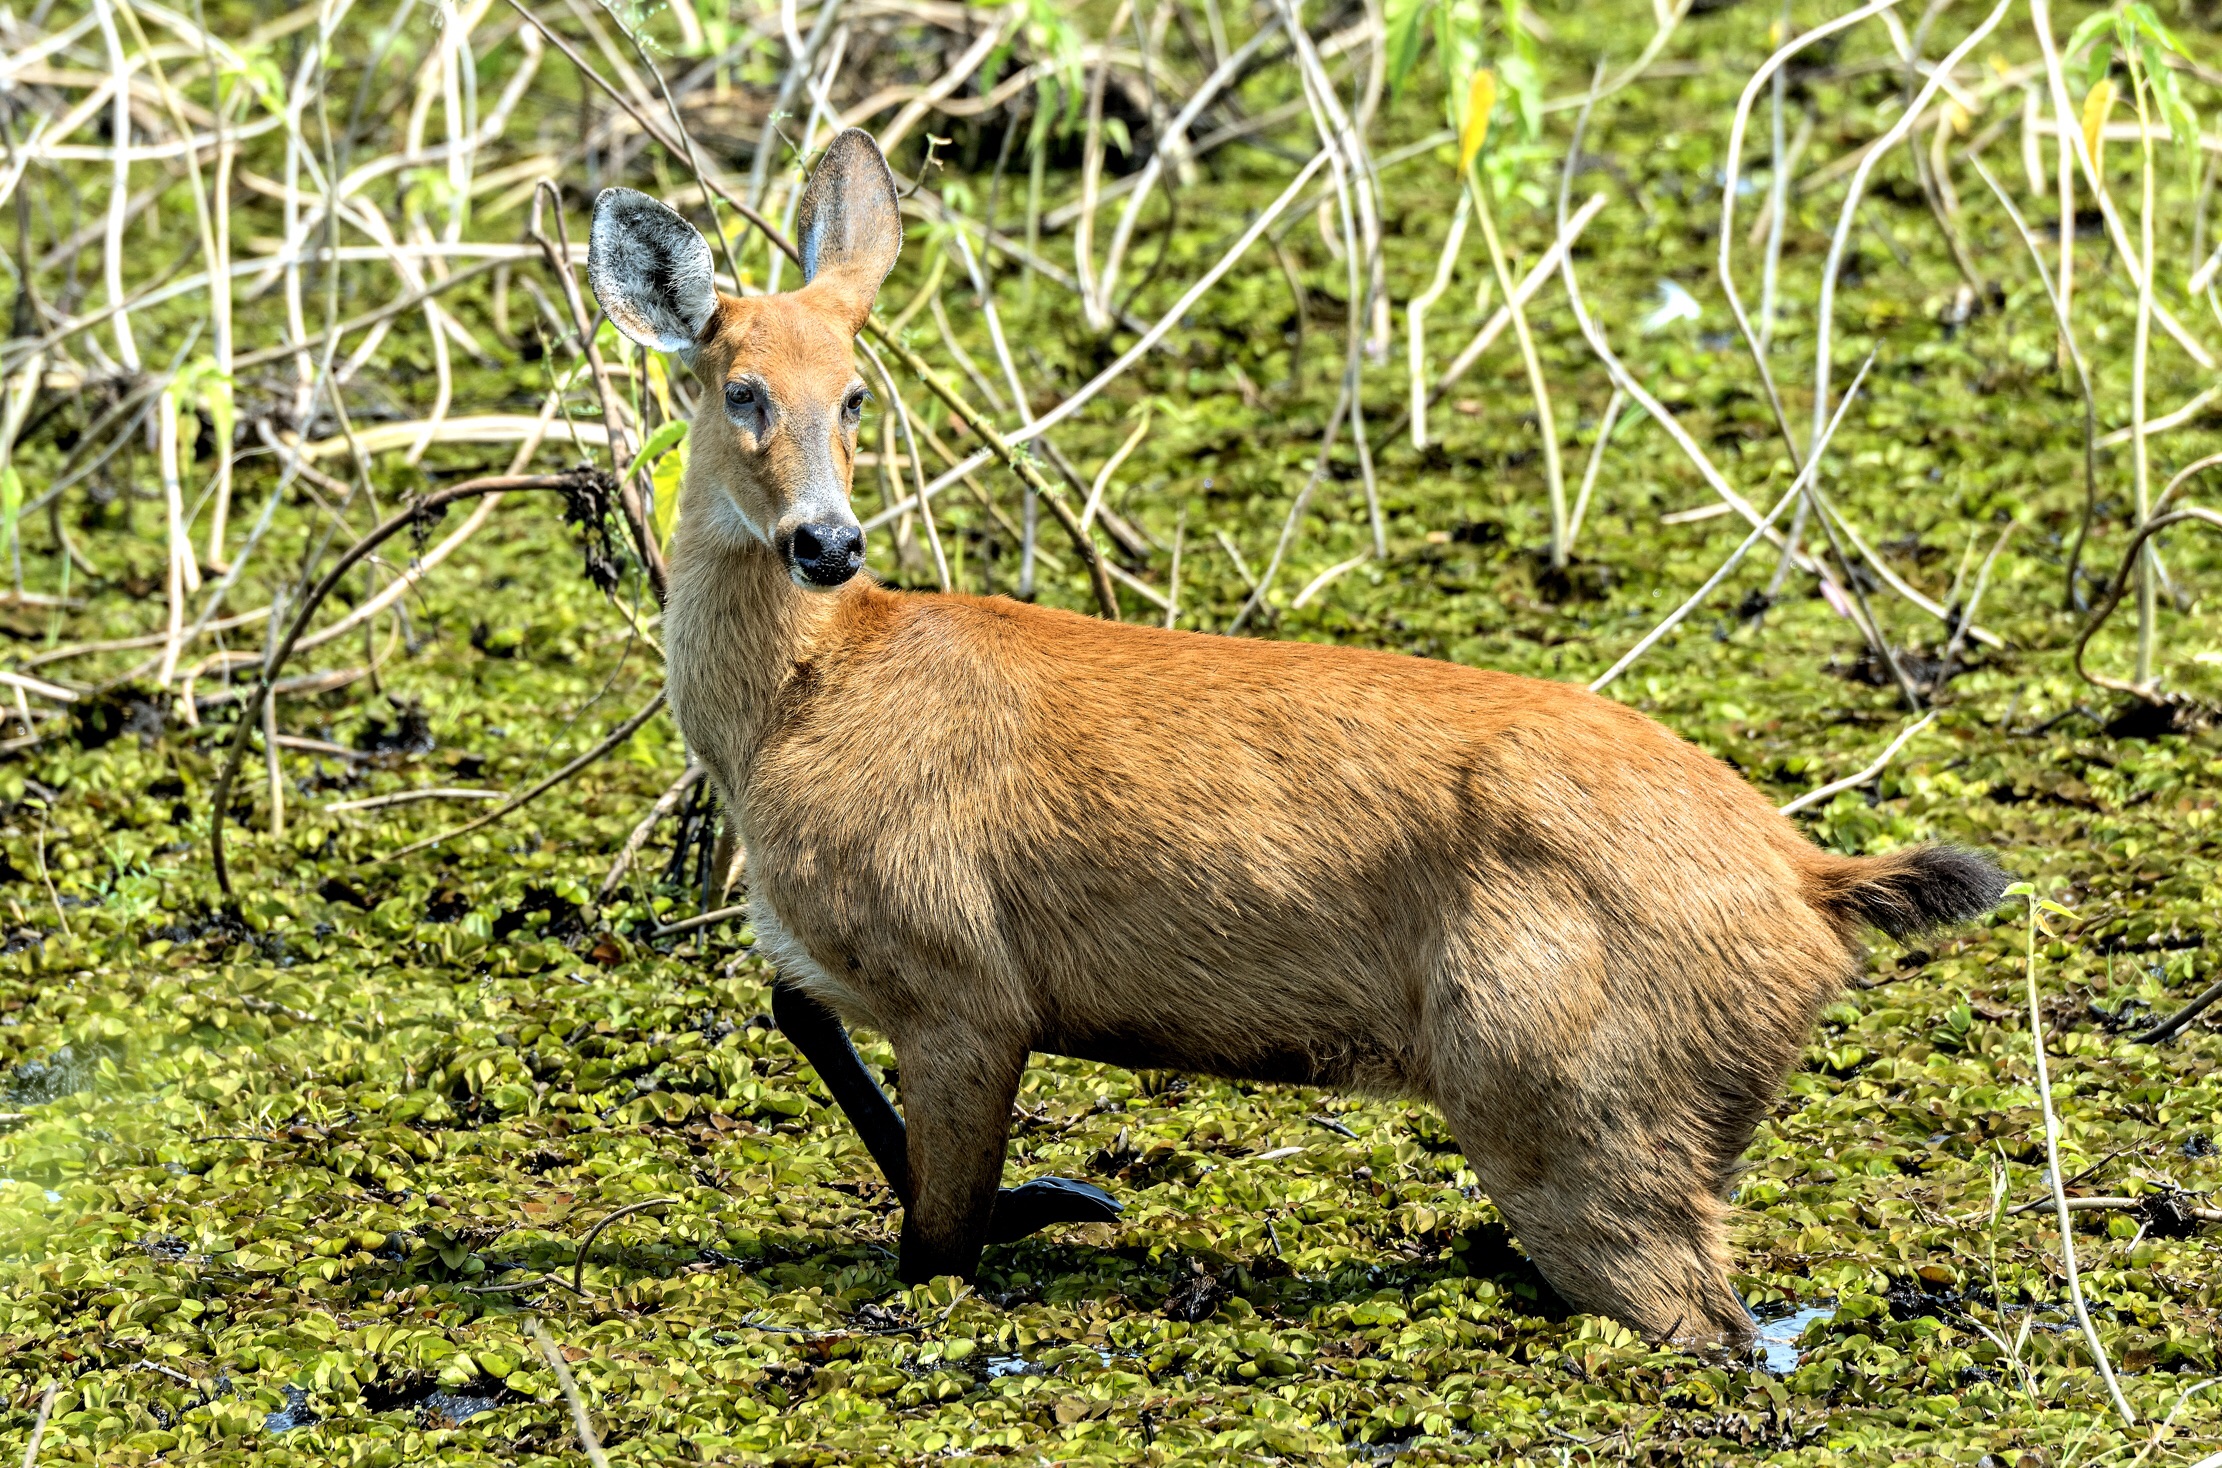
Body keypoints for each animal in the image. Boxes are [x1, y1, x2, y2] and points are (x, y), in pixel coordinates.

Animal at [585, 128, 2008, 1346]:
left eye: (855, 394)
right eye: (742, 389)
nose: (827, 543)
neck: (798, 705)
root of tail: (1811, 882)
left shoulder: (960, 983)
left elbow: (935, 1242)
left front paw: (1046, 1204)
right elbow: (798, 1014)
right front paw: (1060, 1199)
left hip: (1569, 1099)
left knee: (1706, 1323)